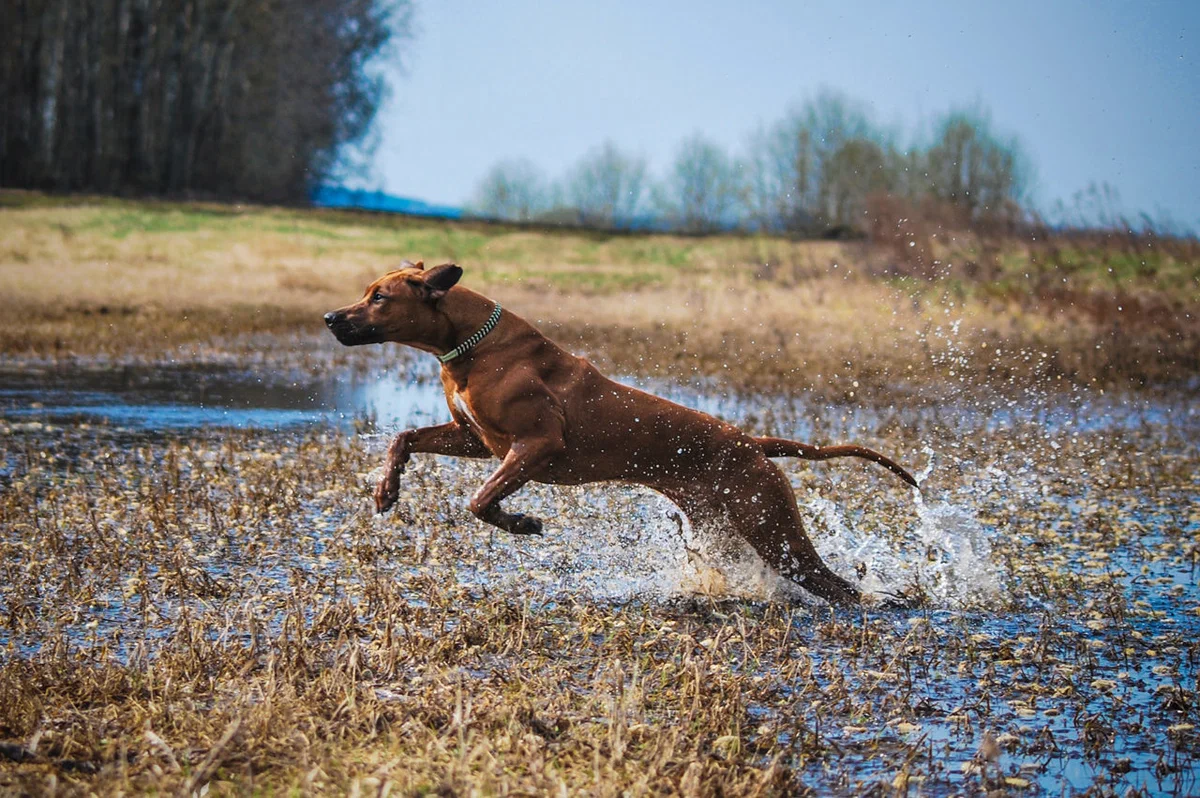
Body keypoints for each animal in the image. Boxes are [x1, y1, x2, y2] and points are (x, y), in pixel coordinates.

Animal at [324, 261, 912, 604]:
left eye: (380, 298)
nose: (331, 317)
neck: (471, 346)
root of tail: (752, 442)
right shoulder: (474, 438)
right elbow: (403, 437)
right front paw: (387, 488)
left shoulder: (537, 445)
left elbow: (480, 500)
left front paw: (521, 523)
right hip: (722, 528)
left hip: (771, 526)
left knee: (835, 584)